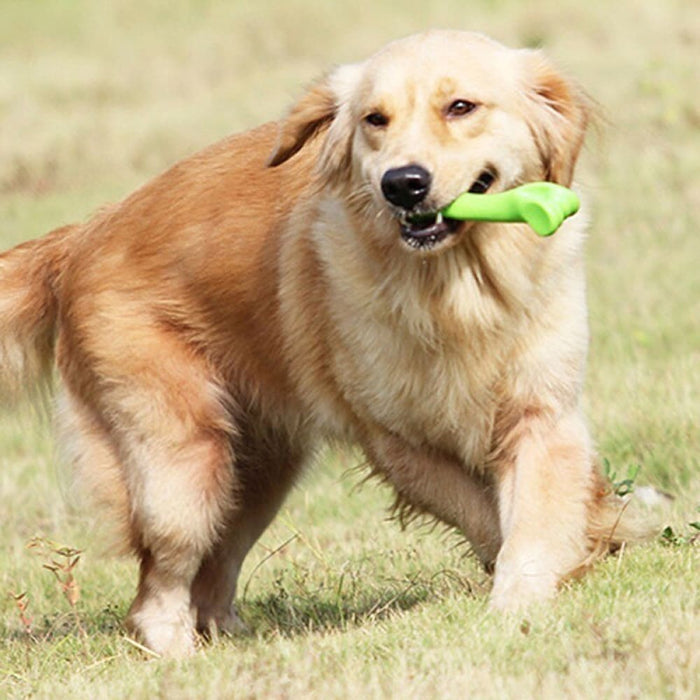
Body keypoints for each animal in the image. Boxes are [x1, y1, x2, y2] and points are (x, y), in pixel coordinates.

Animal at [0, 31, 648, 656]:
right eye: (374, 119)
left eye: (460, 106)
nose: (402, 184)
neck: (455, 289)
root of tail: (83, 235)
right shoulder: (397, 441)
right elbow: (484, 515)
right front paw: (540, 586)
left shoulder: (542, 412)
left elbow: (535, 516)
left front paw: (541, 583)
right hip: (183, 462)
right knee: (158, 586)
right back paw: (180, 655)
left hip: (258, 471)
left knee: (213, 574)